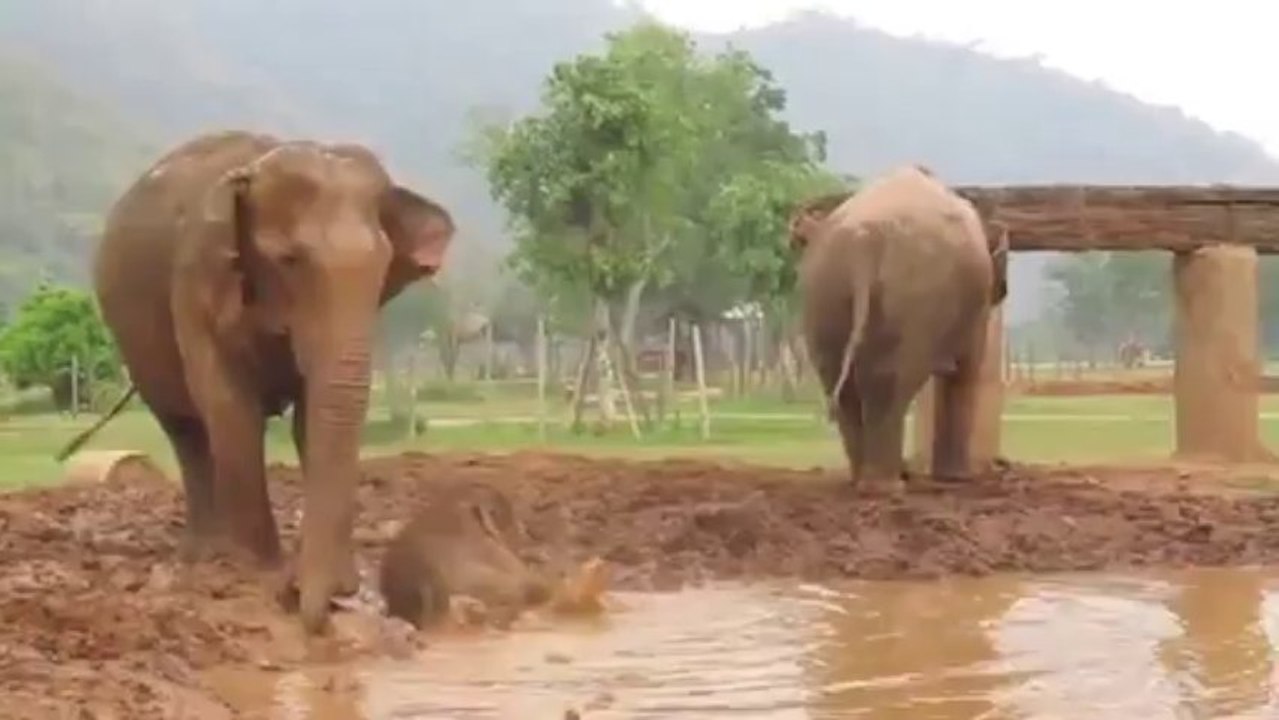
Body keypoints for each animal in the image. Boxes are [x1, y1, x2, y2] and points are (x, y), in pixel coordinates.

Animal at [57, 130, 457, 635]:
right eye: (289, 260)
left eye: (384, 266)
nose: (311, 599)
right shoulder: (195, 281)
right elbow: (230, 408)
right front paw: (262, 574)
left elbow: (311, 418)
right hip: (132, 338)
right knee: (185, 429)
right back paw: (204, 555)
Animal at [788, 164, 1008, 492]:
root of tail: (864, 242)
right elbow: (964, 373)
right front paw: (957, 479)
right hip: (910, 294)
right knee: (887, 380)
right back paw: (887, 487)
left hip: (823, 291)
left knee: (838, 381)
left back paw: (863, 480)